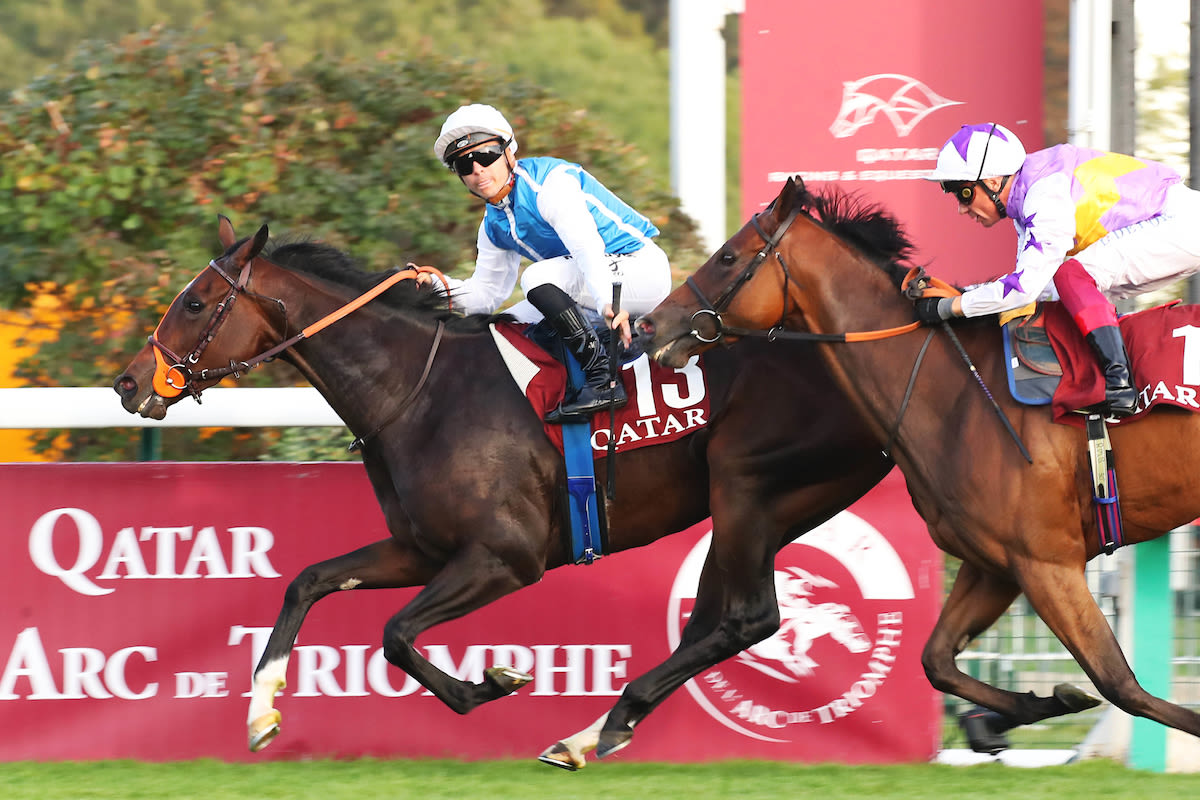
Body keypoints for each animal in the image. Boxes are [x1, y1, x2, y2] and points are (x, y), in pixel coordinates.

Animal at [117, 215, 897, 767]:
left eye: (196, 303)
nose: (127, 383)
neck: (416, 388)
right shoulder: (422, 549)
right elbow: (308, 581)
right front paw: (261, 714)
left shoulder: (505, 557)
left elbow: (395, 634)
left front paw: (491, 684)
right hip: (767, 506)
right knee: (717, 619)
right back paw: (596, 731)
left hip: (748, 490)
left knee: (747, 617)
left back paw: (597, 730)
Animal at [643, 175, 1200, 743]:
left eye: (728, 257)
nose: (648, 325)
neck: (960, 390)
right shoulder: (996, 564)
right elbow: (937, 662)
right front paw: (1018, 712)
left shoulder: (1048, 563)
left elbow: (1120, 685)